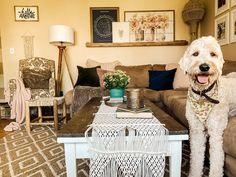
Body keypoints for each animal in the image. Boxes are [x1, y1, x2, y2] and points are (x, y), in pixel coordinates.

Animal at [179, 36, 236, 177]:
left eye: (213, 54)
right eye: (195, 54)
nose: (204, 67)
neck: (203, 94)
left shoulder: (216, 132)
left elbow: (216, 163)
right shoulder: (196, 131)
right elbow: (196, 158)